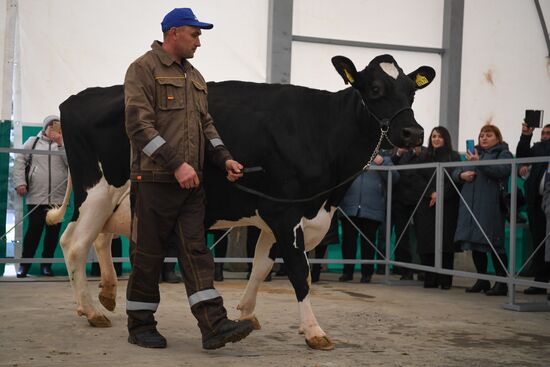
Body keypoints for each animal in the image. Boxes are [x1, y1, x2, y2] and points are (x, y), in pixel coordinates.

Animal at [47, 54, 436, 350]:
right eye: (375, 89)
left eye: (412, 92)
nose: (413, 133)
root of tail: (78, 98)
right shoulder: (286, 211)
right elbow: (300, 272)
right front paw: (314, 331)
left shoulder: (276, 216)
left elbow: (262, 266)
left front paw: (247, 312)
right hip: (98, 191)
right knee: (75, 243)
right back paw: (91, 311)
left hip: (116, 202)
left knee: (97, 238)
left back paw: (108, 294)